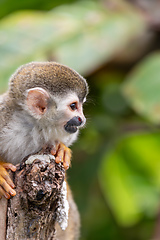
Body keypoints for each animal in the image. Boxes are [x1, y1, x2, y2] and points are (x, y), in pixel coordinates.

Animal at [0, 61, 88, 201]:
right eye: (73, 106)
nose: (82, 119)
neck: (36, 125)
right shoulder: (3, 116)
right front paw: (0, 173)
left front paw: (61, 148)